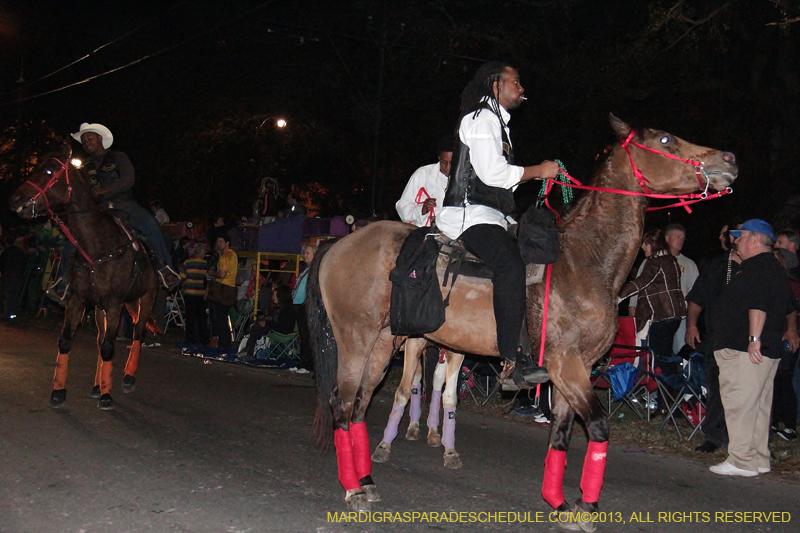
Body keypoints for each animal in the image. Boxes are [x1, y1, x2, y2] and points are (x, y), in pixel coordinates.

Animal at [10, 143, 161, 410]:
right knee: (101, 339)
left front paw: (107, 396)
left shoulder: (114, 303)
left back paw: (128, 378)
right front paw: (59, 391)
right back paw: (98, 384)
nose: (15, 200)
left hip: (146, 298)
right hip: (101, 309)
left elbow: (110, 346)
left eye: (48, 171)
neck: (97, 247)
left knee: (138, 333)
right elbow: (66, 341)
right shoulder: (77, 300)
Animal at [372, 338, 466, 468]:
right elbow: (403, 392)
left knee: (436, 379)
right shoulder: (413, 343)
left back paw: (432, 431)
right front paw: (383, 446)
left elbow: (447, 394)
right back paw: (413, 427)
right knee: (417, 377)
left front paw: (450, 452)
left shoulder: (455, 350)